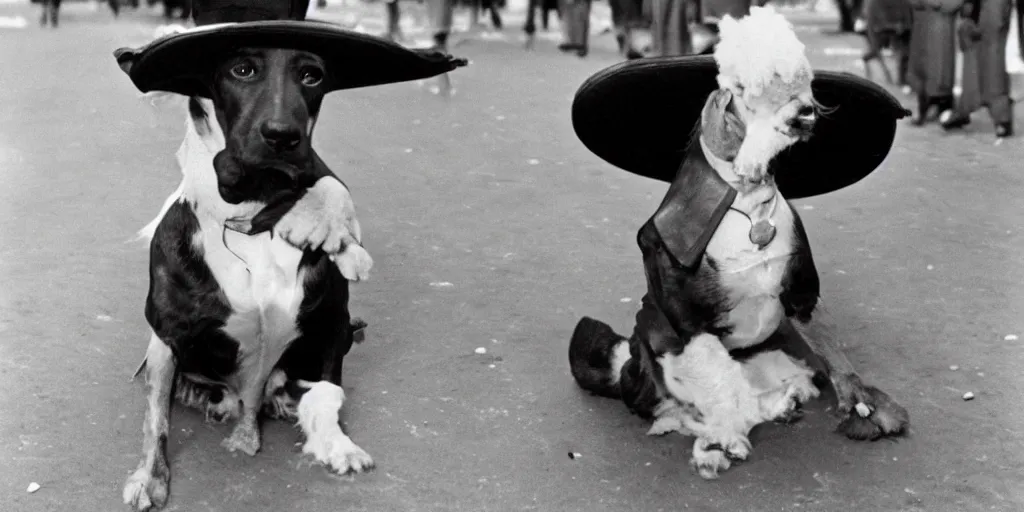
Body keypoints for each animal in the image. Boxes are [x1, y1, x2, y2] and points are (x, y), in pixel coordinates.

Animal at [120, 46, 376, 509]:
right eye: (241, 70)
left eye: (312, 76)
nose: (281, 135)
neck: (252, 216)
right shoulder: (166, 334)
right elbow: (156, 418)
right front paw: (150, 477)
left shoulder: (332, 325)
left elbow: (329, 390)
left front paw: (337, 444)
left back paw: (279, 401)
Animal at [569, 6, 913, 479]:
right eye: (748, 88)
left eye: (802, 82)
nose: (807, 112)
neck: (747, 204)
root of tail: (624, 367)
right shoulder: (689, 323)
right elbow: (715, 380)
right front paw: (723, 437)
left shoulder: (800, 292)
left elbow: (833, 351)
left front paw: (861, 402)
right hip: (657, 359)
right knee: (682, 407)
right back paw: (718, 438)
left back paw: (783, 403)